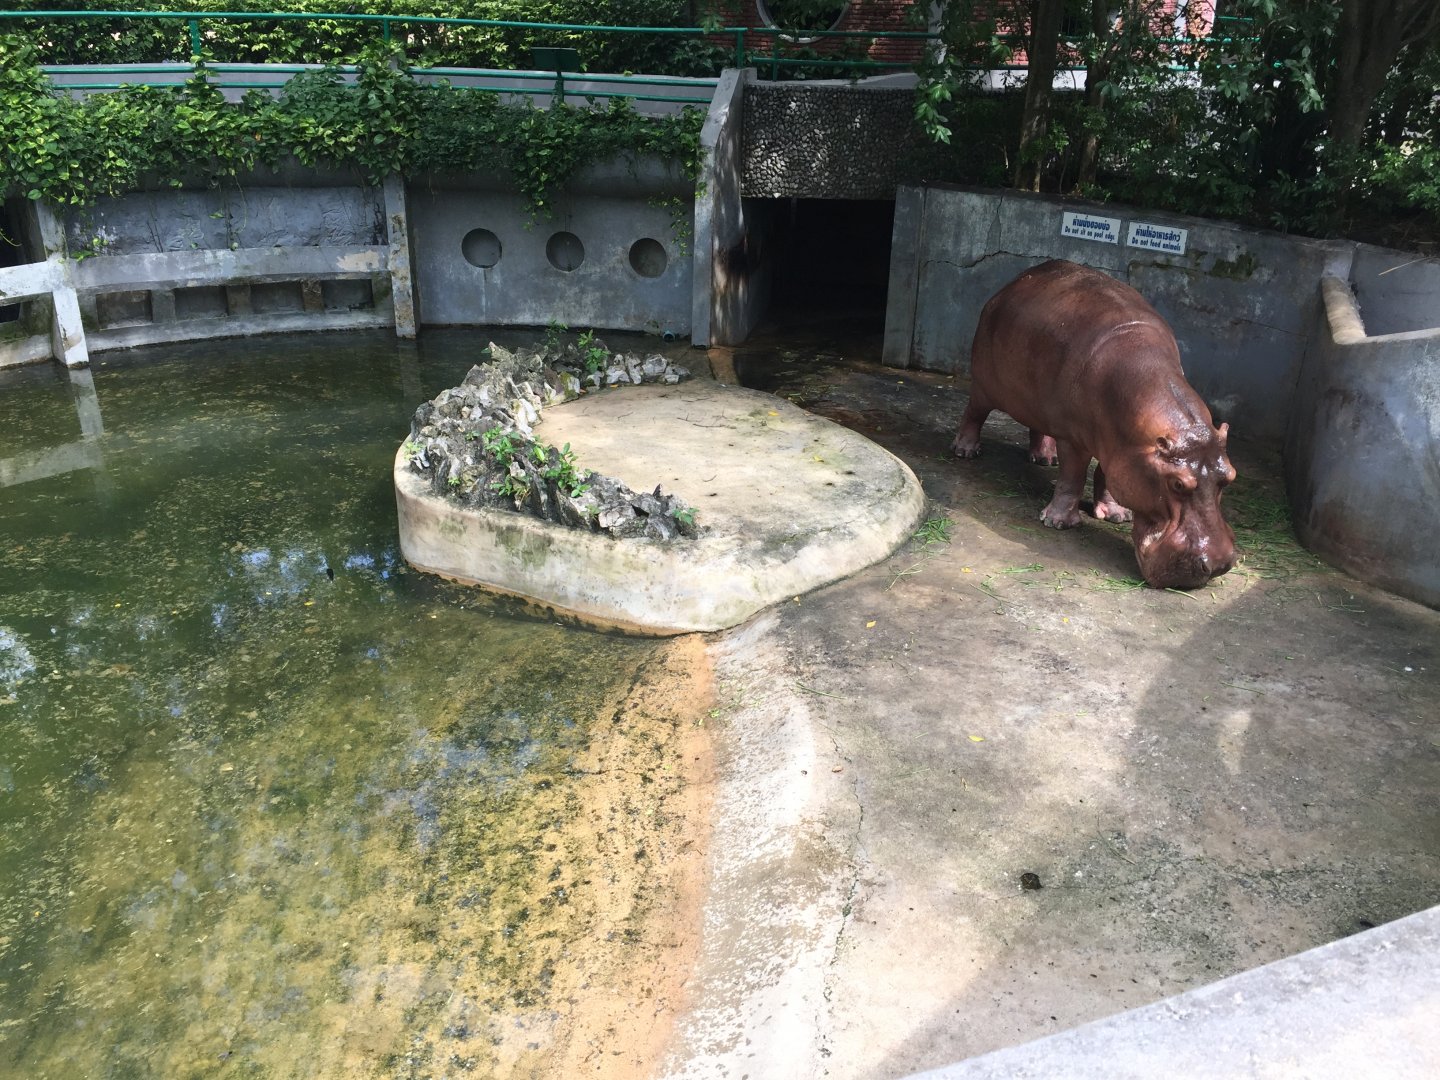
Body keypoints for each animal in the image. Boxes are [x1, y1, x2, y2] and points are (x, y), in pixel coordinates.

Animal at [953, 259, 1237, 589]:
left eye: (1230, 476)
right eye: (1177, 483)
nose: (1217, 566)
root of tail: (1016, 280)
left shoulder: (1120, 447)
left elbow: (1106, 475)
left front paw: (1116, 515)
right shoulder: (1075, 438)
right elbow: (1073, 476)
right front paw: (1057, 523)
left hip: (1039, 401)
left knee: (1038, 427)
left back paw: (1044, 458)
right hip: (985, 383)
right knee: (974, 412)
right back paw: (965, 451)